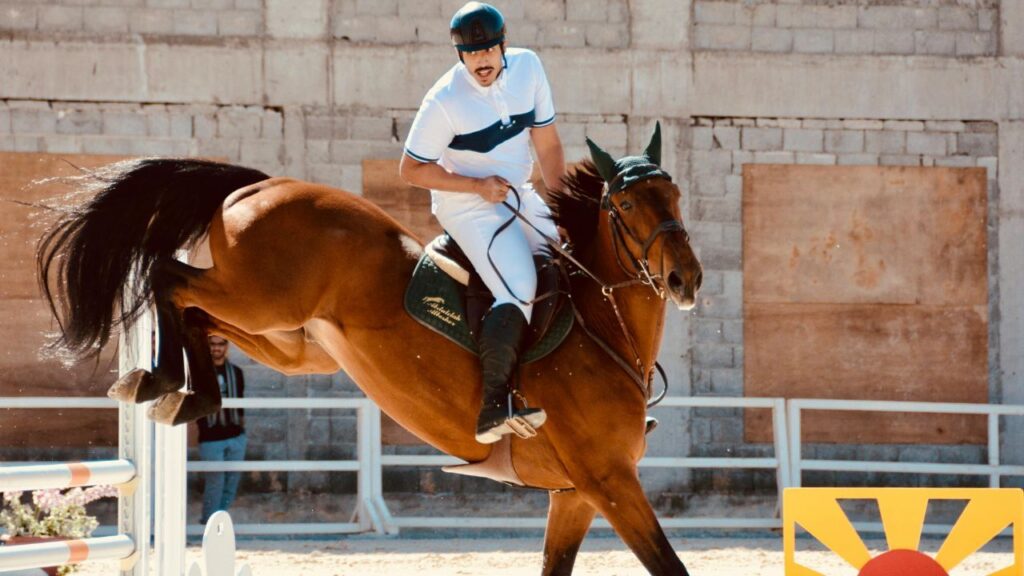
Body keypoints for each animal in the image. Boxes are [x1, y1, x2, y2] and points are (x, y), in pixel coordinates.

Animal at [37, 124, 702, 575]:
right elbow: (669, 566)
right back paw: (162, 383)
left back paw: (175, 390)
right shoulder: (608, 481)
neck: (602, 326)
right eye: (625, 205)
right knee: (166, 276)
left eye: (674, 198)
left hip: (291, 339)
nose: (685, 280)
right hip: (262, 300)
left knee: (196, 310)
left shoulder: (574, 496)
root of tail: (263, 184)